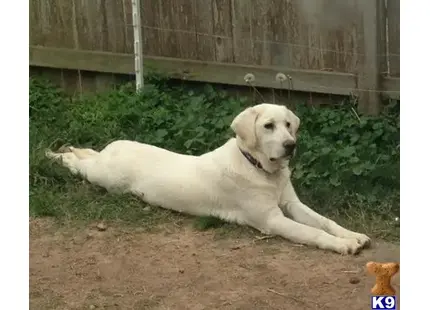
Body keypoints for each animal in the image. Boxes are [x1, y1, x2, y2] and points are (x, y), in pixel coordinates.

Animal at [46, 103, 370, 254]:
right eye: (268, 126)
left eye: (288, 124)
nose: (290, 145)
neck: (259, 168)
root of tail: (113, 147)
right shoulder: (271, 220)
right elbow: (312, 233)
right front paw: (342, 245)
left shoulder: (292, 204)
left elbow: (325, 222)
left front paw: (352, 235)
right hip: (104, 178)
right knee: (78, 164)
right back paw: (54, 155)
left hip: (102, 163)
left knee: (87, 152)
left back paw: (69, 148)